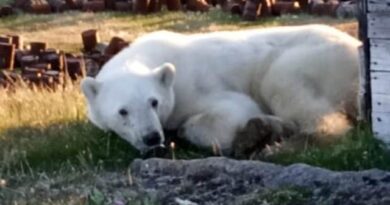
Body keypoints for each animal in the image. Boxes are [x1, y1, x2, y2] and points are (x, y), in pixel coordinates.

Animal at [80, 24, 362, 154]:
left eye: (154, 102)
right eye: (122, 111)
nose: (151, 137)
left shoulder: (194, 86)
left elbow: (232, 110)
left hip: (313, 58)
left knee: (285, 86)